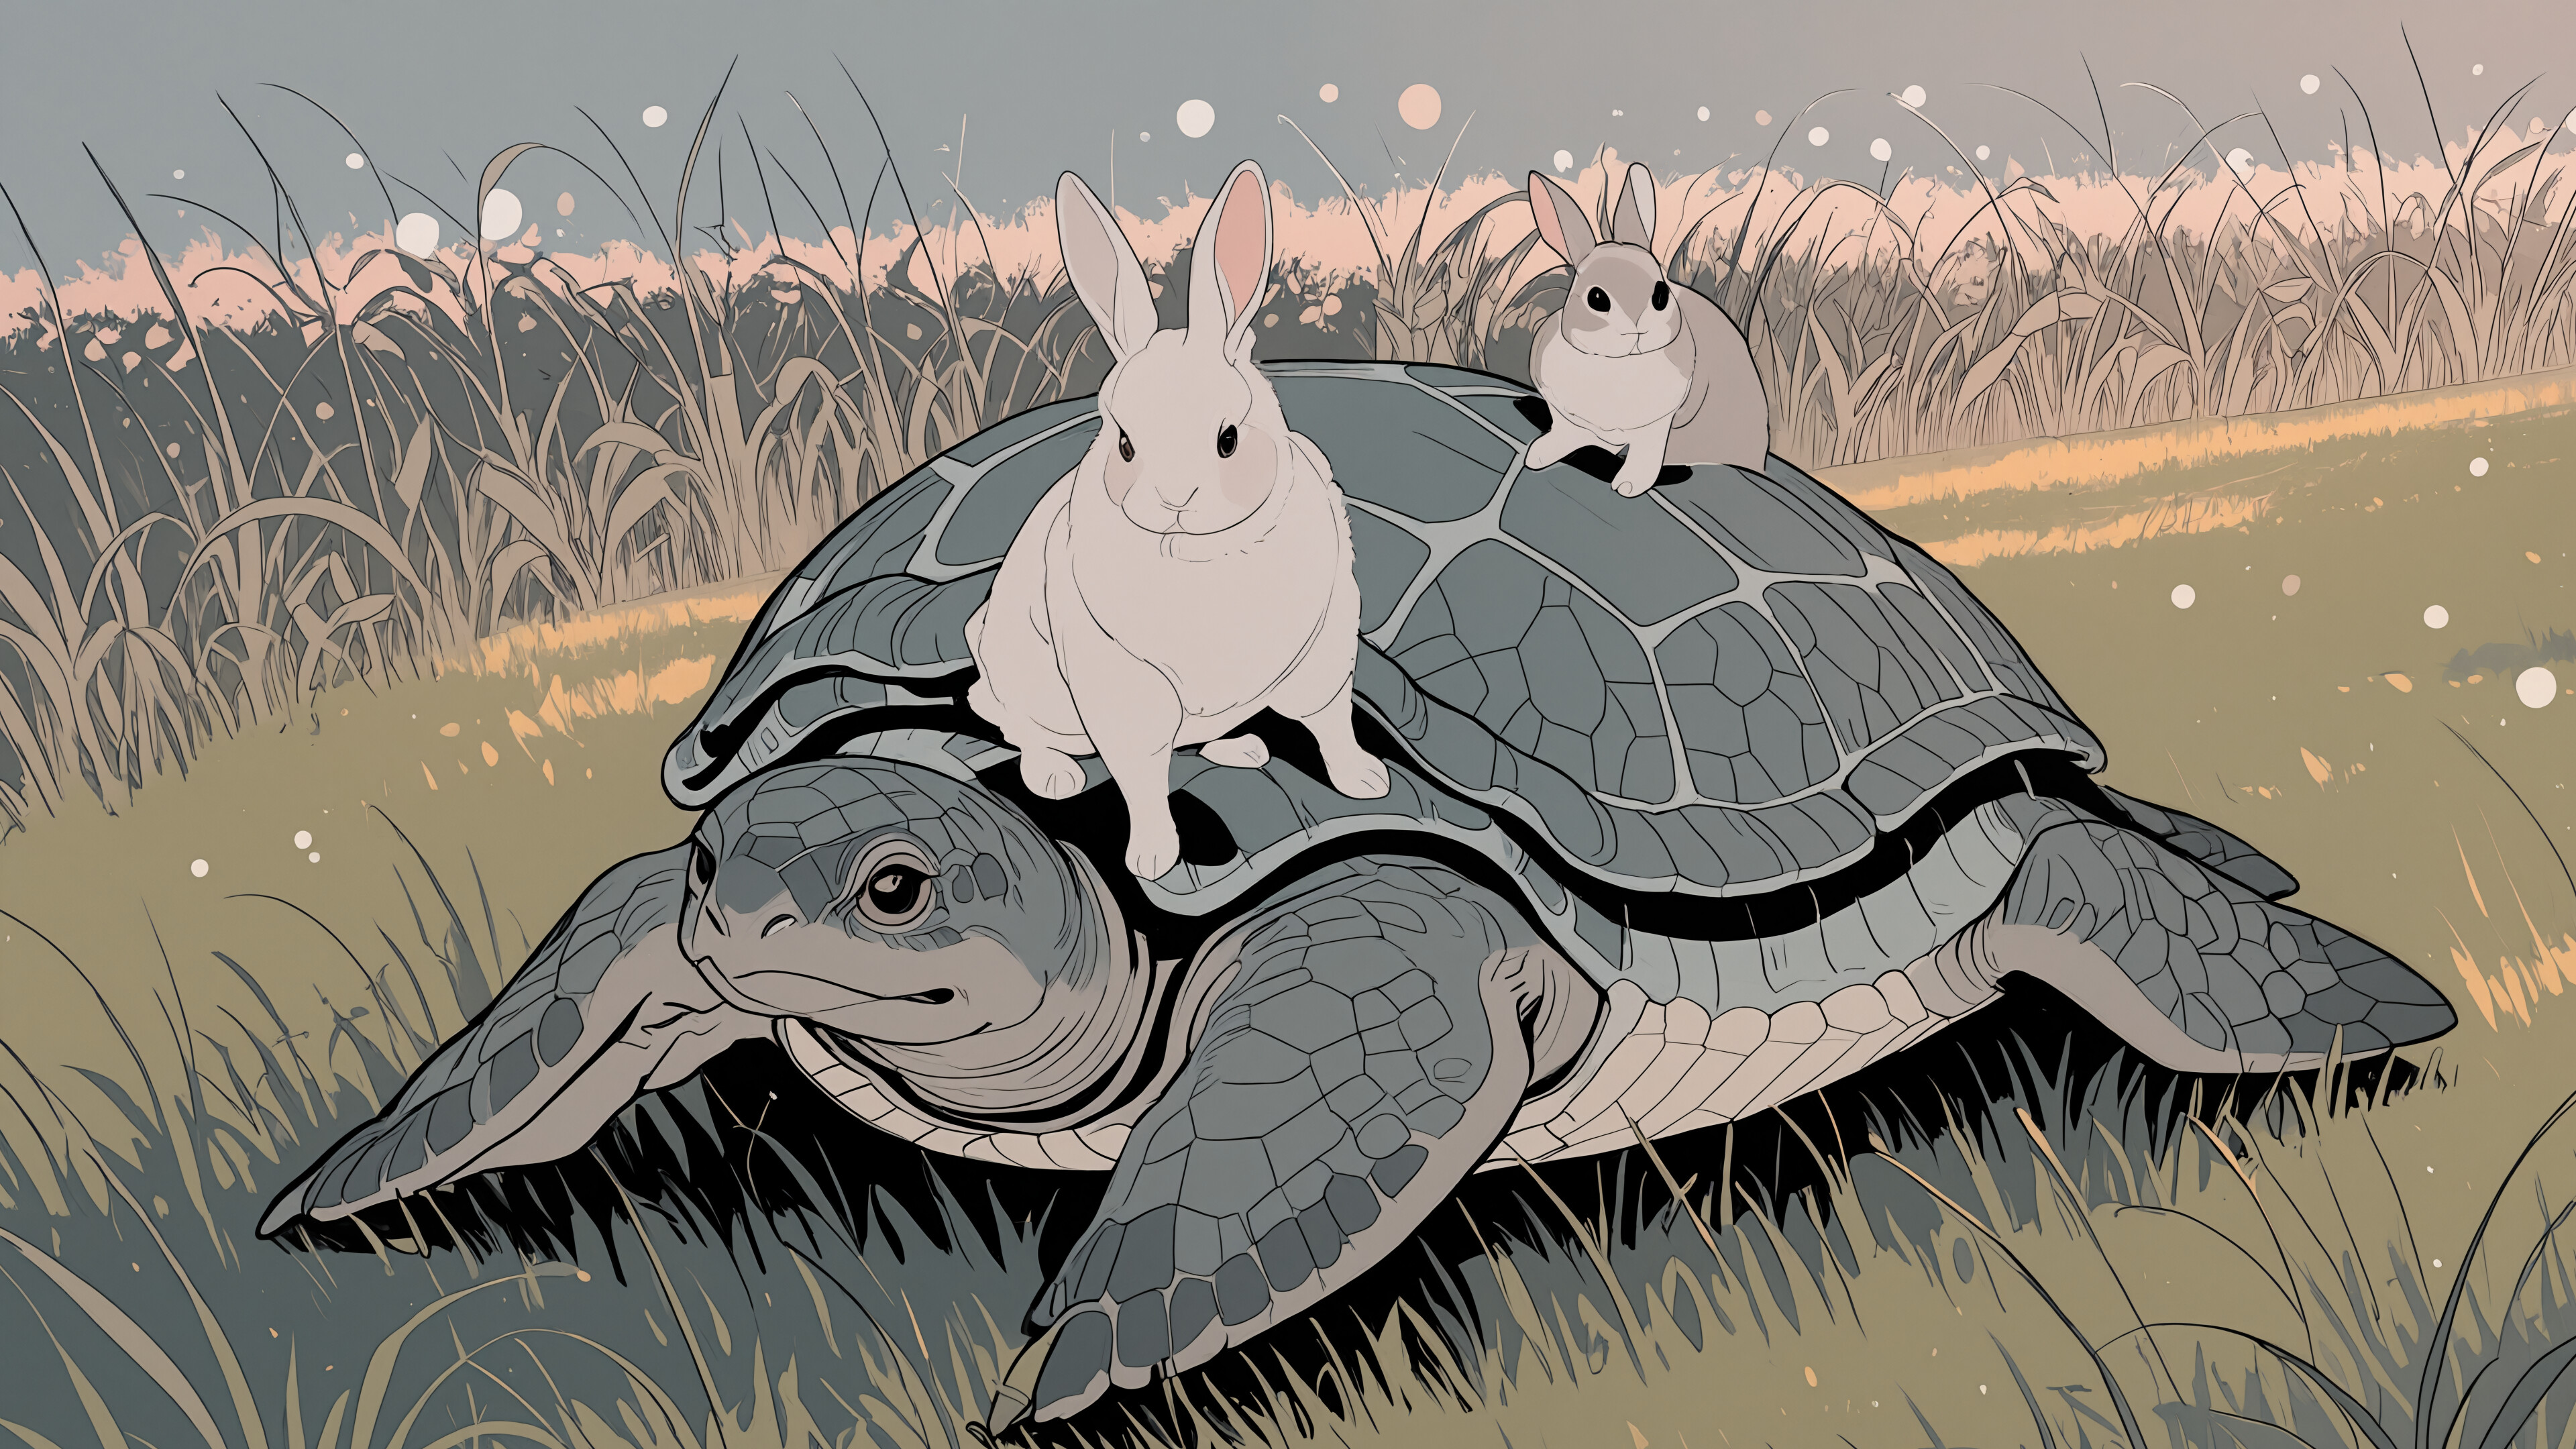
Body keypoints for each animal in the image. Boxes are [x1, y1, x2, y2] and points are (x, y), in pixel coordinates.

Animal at [966, 159, 1389, 880]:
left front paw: (1365, 782)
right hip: (1024, 679)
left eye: (1228, 440)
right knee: (1022, 732)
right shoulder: (1124, 689)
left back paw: (1243, 748)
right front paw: (1152, 859)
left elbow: (1331, 723)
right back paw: (1056, 776)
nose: (1174, 498)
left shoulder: (1323, 653)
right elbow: (1140, 779)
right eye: (1125, 444)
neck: (1204, 553)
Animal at [1524, 162, 1770, 496]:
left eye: (1661, 295)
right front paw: (1537, 455)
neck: (1615, 364)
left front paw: (1629, 485)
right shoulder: (1568, 417)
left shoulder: (1656, 426)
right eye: (1597, 298)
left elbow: (1645, 454)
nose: (1638, 328)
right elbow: (1567, 434)